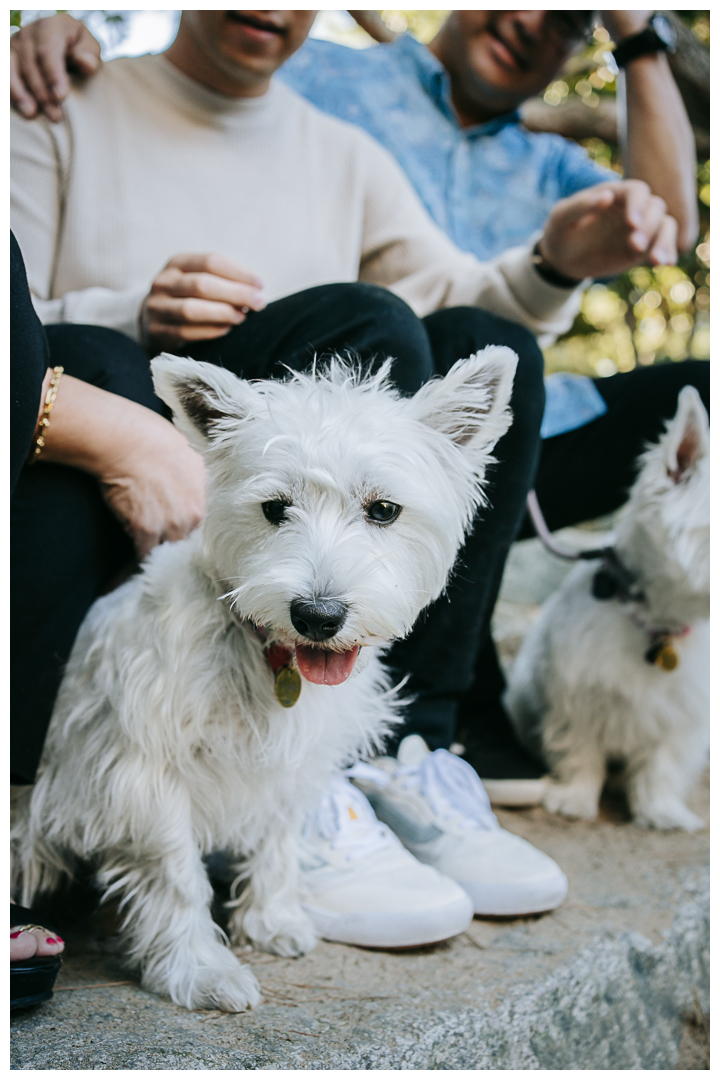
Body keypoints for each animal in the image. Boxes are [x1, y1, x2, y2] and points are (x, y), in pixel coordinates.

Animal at [11, 347, 518, 1010]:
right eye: (275, 508)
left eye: (383, 509)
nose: (318, 616)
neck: (269, 656)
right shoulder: (145, 771)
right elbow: (177, 876)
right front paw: (199, 968)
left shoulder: (294, 760)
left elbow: (280, 839)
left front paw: (271, 919)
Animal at [507, 384, 708, 829]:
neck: (657, 621)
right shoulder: (576, 692)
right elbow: (579, 748)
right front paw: (574, 799)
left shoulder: (684, 714)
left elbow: (664, 765)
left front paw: (661, 811)